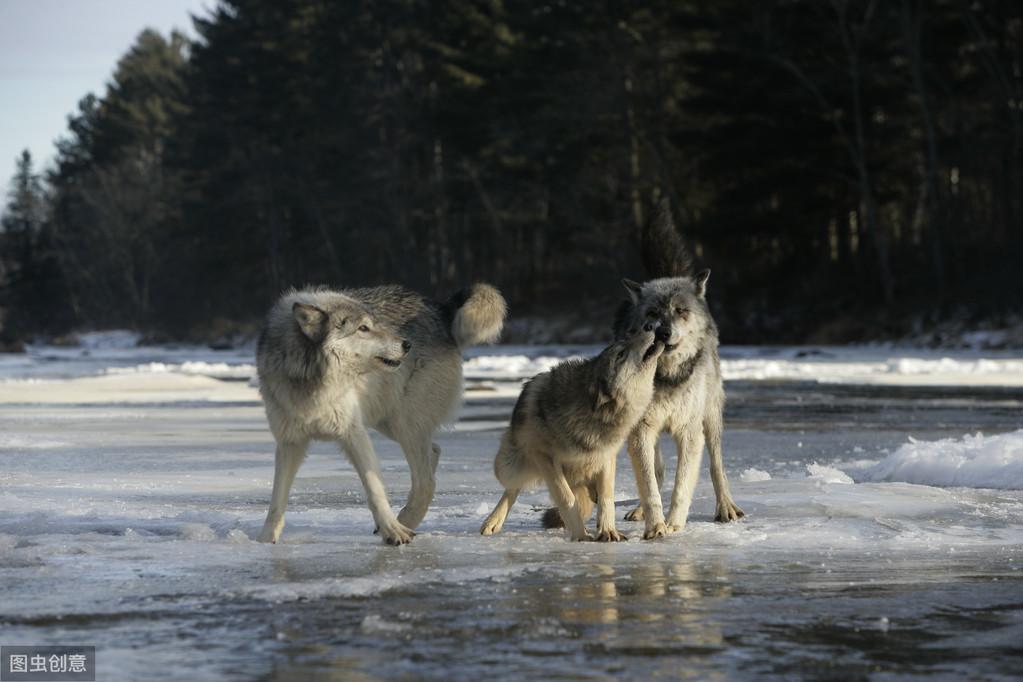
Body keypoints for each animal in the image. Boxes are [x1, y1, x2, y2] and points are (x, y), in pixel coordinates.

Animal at [253, 282, 505, 543]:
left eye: (374, 324)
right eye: (363, 328)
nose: (407, 344)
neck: (313, 381)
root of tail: (439, 308)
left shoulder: (354, 435)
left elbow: (374, 490)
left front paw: (392, 530)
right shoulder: (289, 442)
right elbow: (276, 500)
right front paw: (265, 540)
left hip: (403, 424)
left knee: (427, 481)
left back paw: (404, 522)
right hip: (388, 423)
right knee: (434, 453)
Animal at [478, 327, 662, 539]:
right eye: (620, 354)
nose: (649, 327)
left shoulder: (607, 454)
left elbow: (607, 496)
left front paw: (608, 531)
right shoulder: (545, 457)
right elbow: (566, 497)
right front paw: (581, 535)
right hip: (508, 467)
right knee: (513, 487)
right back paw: (492, 522)